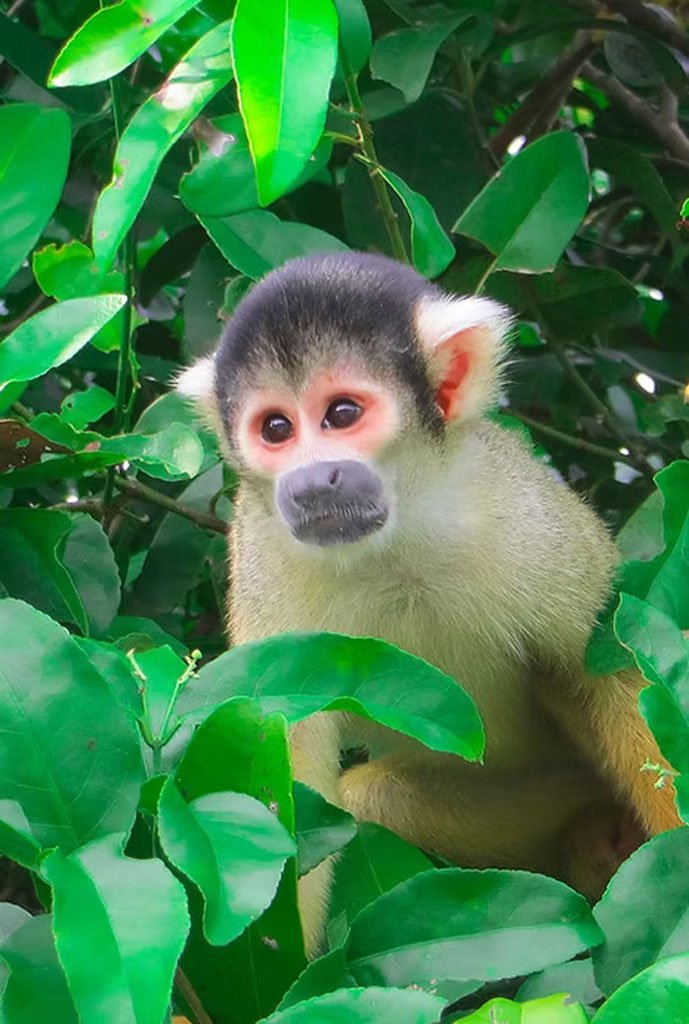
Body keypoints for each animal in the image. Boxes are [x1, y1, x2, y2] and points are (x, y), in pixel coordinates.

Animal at [177, 251, 680, 955]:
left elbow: (601, 669)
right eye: (275, 428)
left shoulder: (528, 514)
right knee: (369, 801)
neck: (395, 541)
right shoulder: (264, 553)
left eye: (341, 414)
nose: (313, 482)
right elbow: (283, 752)